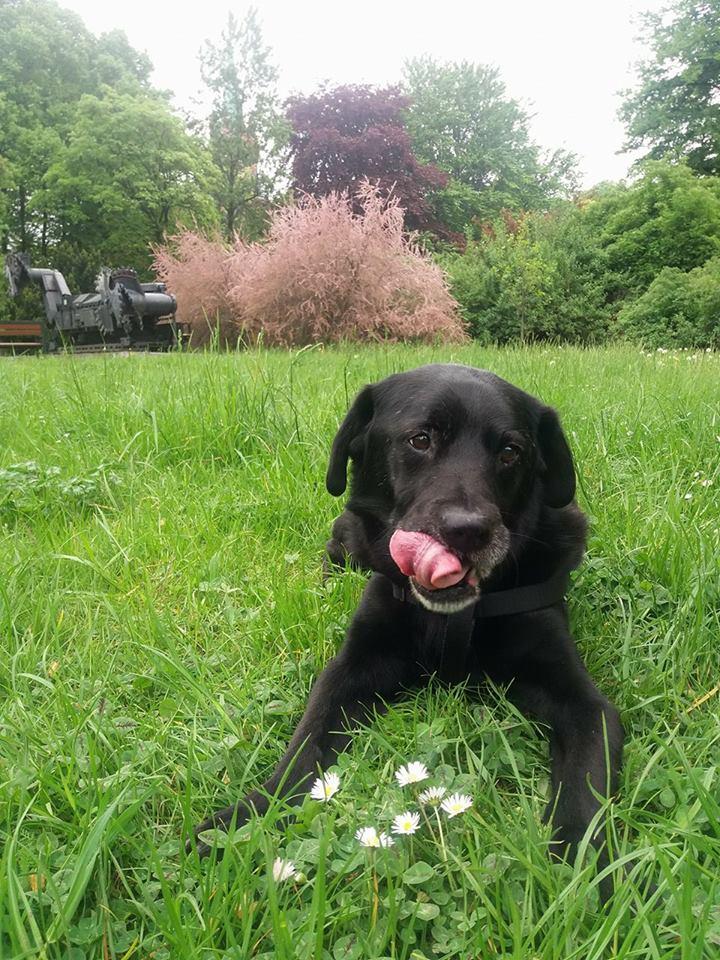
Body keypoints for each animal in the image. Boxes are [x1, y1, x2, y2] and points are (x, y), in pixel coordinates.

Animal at [192, 363, 623, 868]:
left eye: (510, 452)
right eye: (420, 439)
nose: (468, 531)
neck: (450, 618)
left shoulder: (582, 702)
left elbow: (585, 788)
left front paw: (585, 868)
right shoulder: (354, 666)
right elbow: (304, 748)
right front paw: (245, 818)